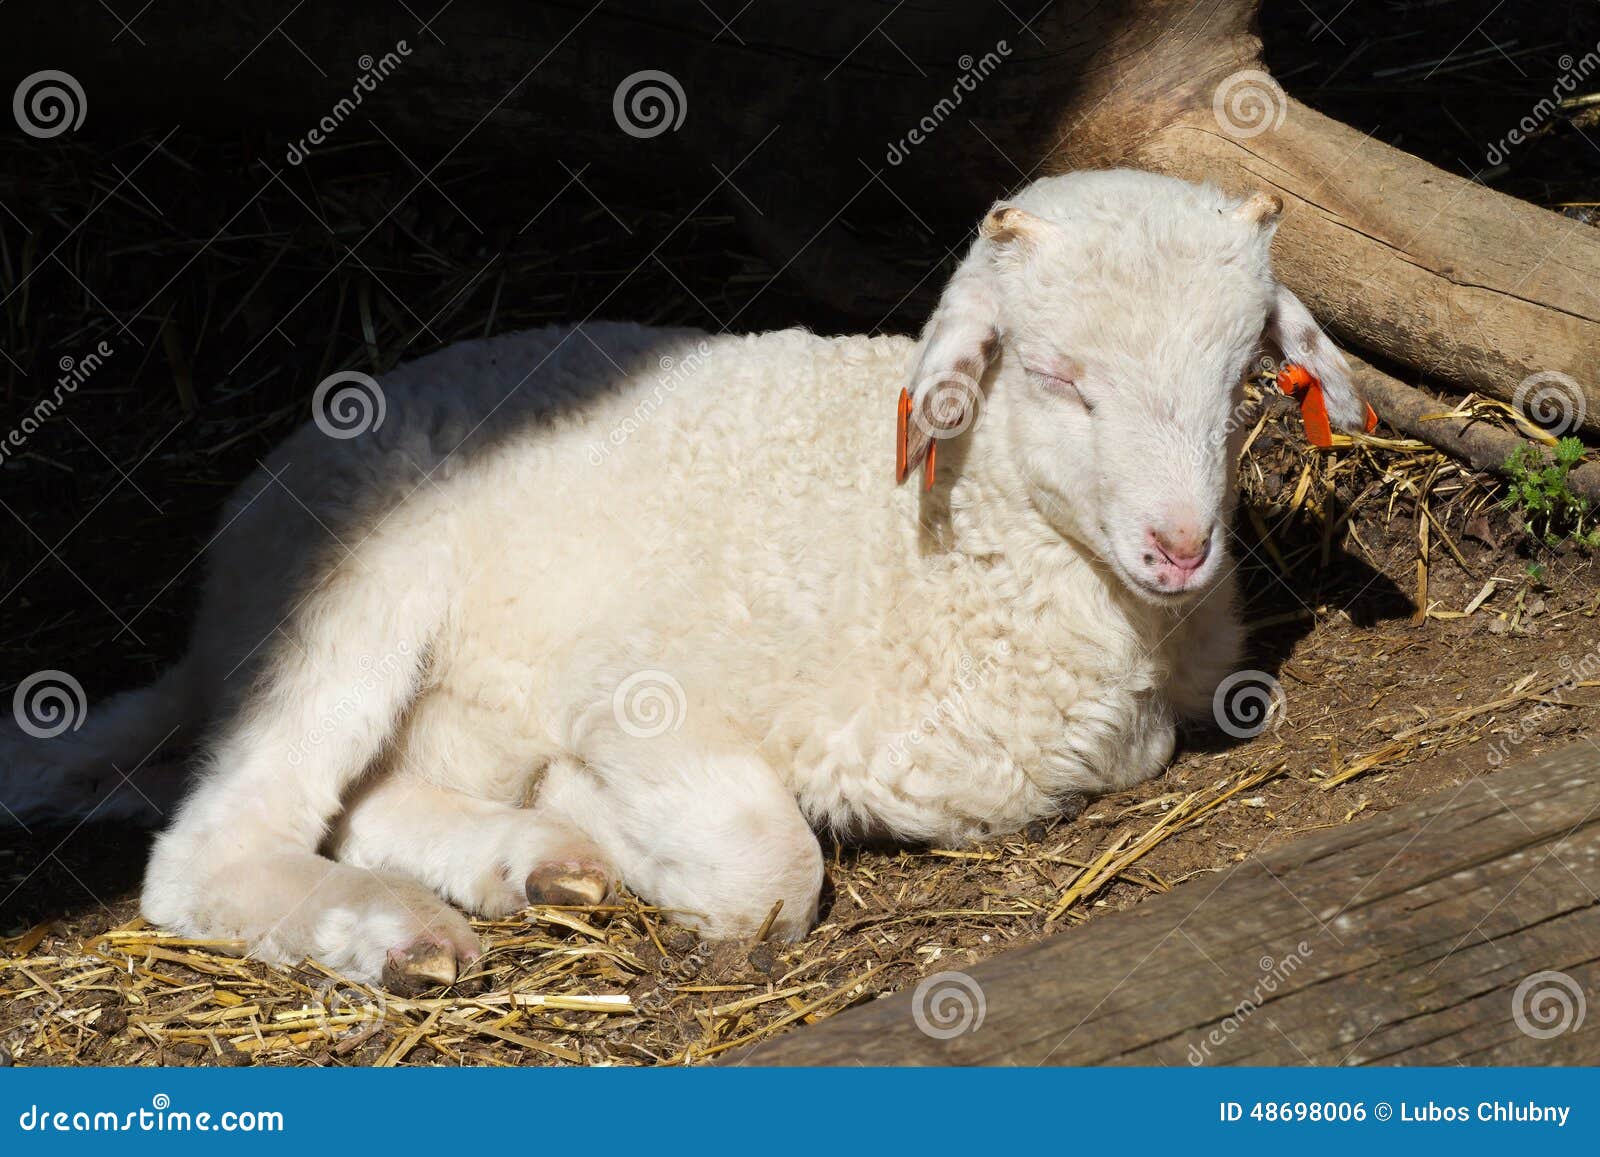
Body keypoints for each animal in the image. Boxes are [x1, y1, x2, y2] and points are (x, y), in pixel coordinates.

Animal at [2, 170, 1371, 989]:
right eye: (1055, 375)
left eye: (1242, 373)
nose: (1180, 547)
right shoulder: (639, 690)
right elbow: (767, 872)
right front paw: (612, 813)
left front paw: (569, 825)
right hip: (350, 593)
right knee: (210, 846)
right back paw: (404, 928)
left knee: (351, 795)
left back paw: (526, 857)